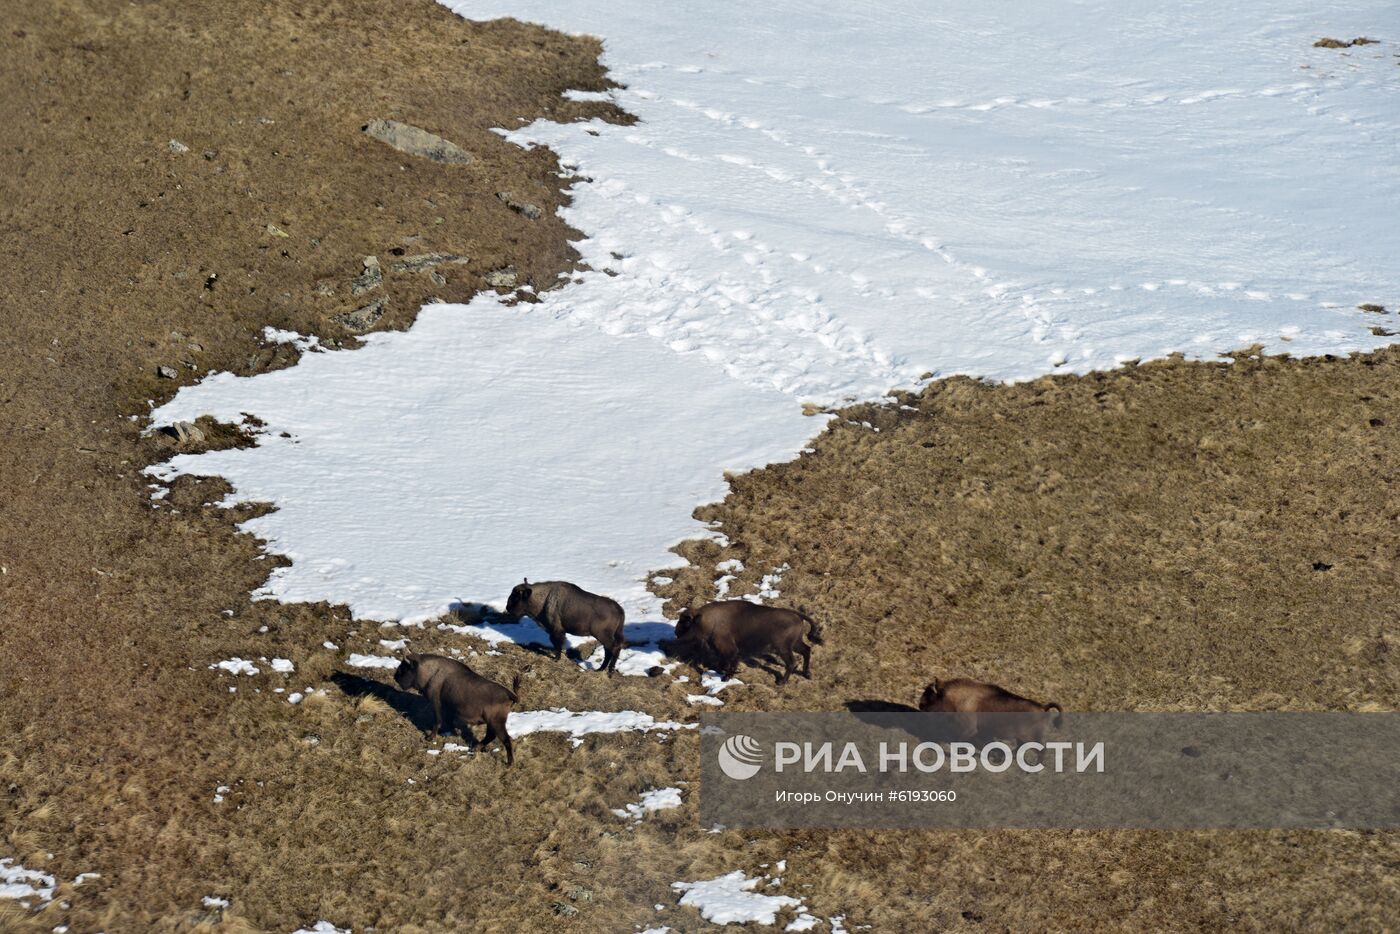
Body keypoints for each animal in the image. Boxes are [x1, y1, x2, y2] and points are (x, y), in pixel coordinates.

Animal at [674, 599, 817, 686]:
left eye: (685, 622)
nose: (676, 632)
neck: (706, 620)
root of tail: (798, 616)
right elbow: (723, 664)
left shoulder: (729, 650)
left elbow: (728, 664)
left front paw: (727, 677)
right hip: (795, 644)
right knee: (806, 650)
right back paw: (807, 674)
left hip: (783, 648)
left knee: (792, 662)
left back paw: (781, 682)